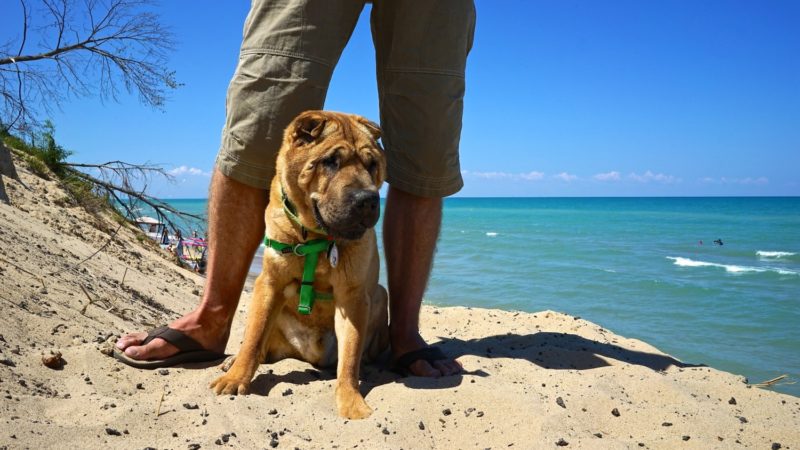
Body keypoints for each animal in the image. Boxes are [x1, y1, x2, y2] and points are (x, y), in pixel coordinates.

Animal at [211, 110, 390, 420]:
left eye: (372, 165)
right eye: (331, 161)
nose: (368, 200)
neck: (316, 239)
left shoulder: (353, 297)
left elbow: (349, 357)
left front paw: (351, 402)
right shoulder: (269, 283)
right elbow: (254, 337)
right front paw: (235, 379)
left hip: (380, 294)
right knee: (258, 346)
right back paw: (234, 361)